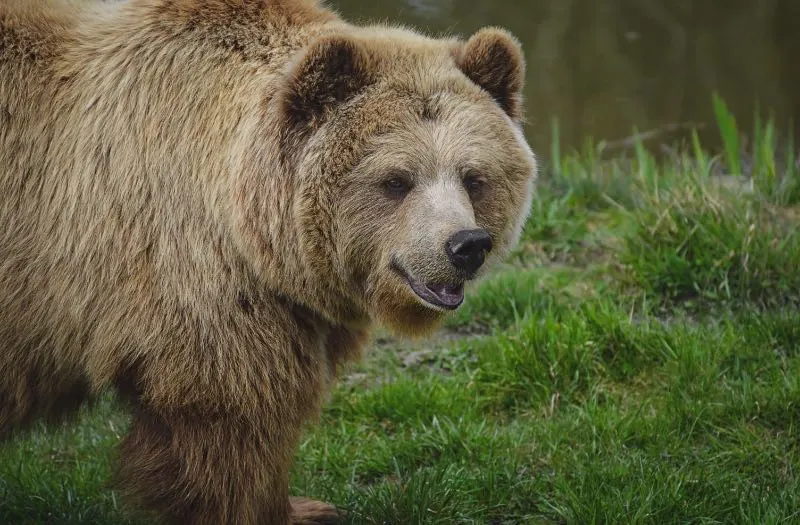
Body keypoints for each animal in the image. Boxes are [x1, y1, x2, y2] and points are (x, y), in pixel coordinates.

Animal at [1, 0, 536, 520]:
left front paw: (306, 506)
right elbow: (232, 423)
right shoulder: (196, 286)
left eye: (473, 177)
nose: (465, 245)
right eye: (396, 180)